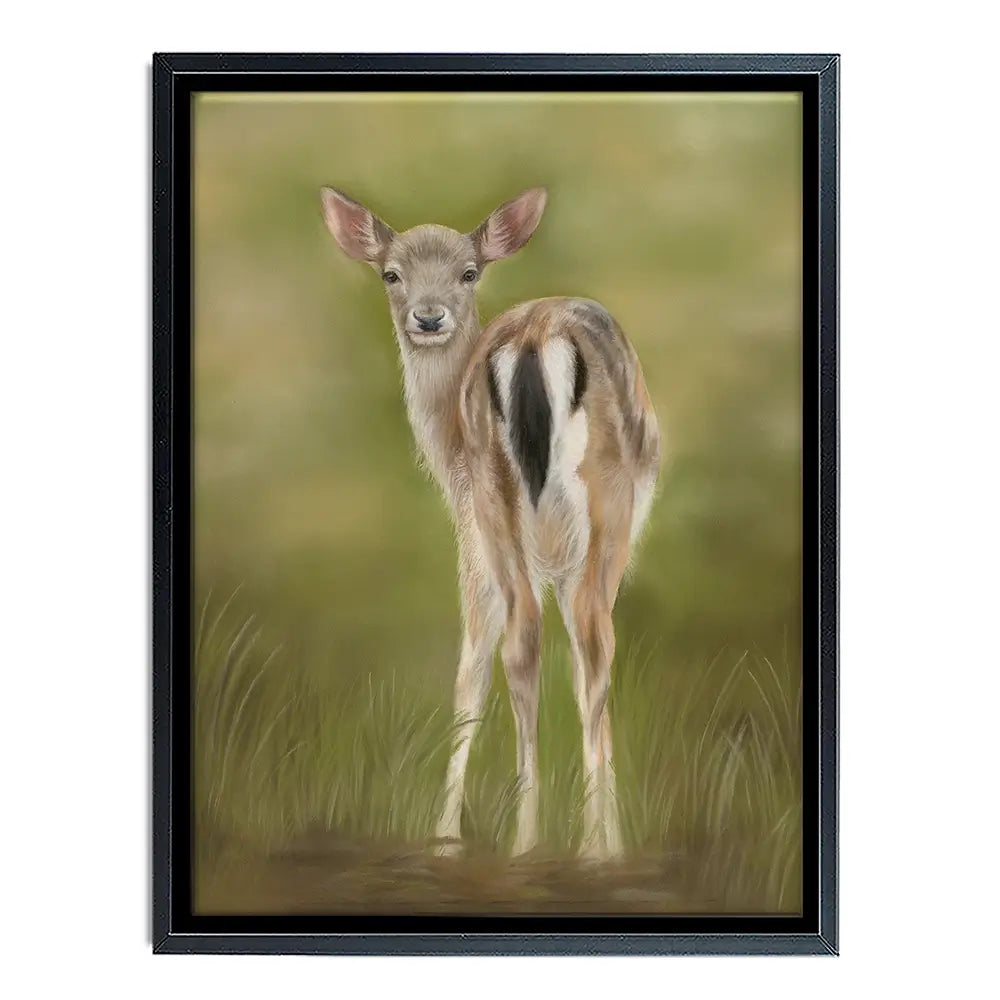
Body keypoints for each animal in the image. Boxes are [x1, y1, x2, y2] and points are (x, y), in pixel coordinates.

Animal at [320, 186, 660, 861]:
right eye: (390, 273)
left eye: (468, 272)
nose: (427, 318)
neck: (445, 454)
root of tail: (533, 340)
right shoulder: (486, 542)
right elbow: (487, 670)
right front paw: (448, 836)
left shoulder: (487, 538)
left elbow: (484, 667)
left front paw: (446, 836)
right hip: (585, 510)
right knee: (579, 640)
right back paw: (570, 847)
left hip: (508, 504)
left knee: (540, 640)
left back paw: (539, 842)